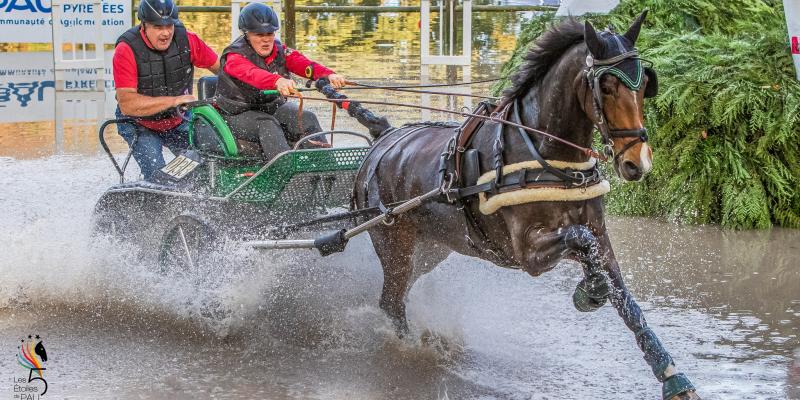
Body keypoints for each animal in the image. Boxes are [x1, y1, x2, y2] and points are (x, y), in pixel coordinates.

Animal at [354, 11, 696, 400]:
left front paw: (672, 376)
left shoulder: (599, 235)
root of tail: (383, 140)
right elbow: (579, 241)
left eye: (644, 85)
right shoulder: (528, 253)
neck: (545, 153)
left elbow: (626, 301)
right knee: (391, 303)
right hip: (395, 246)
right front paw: (591, 289)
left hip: (429, 250)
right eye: (607, 86)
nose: (638, 162)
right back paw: (412, 348)